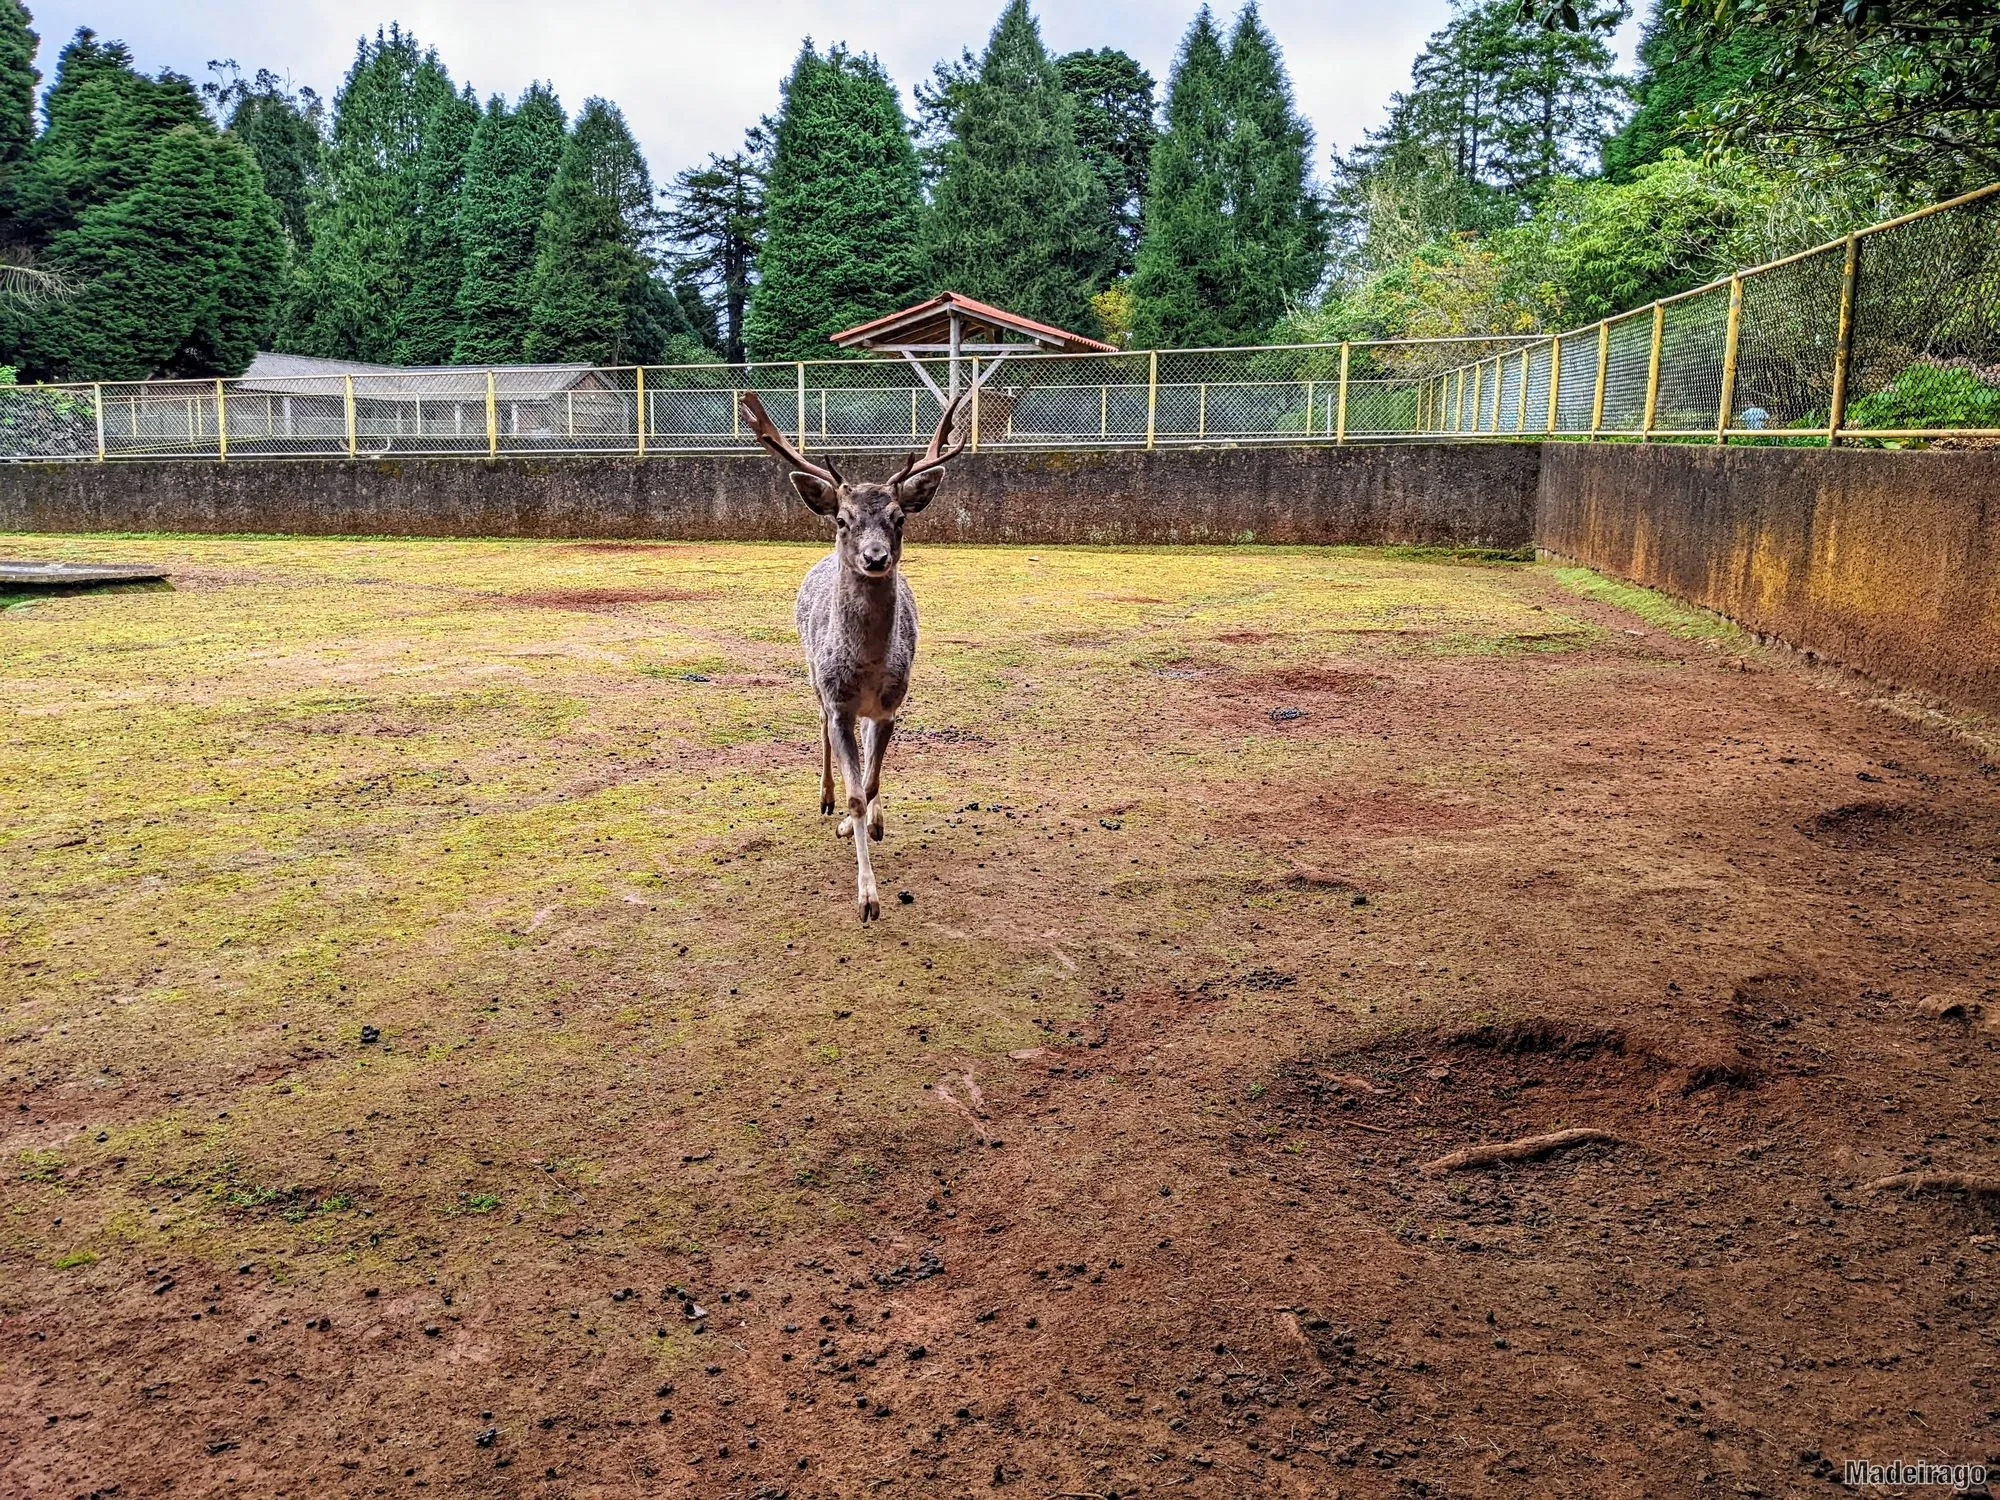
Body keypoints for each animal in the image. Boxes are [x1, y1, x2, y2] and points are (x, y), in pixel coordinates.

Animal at [748, 388, 972, 924]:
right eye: (842, 519)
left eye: (899, 518)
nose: (875, 558)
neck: (867, 669)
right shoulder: (839, 702)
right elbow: (852, 791)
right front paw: (867, 897)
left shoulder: (890, 706)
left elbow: (869, 783)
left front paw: (869, 822)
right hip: (812, 675)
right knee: (820, 730)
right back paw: (826, 800)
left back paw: (874, 818)